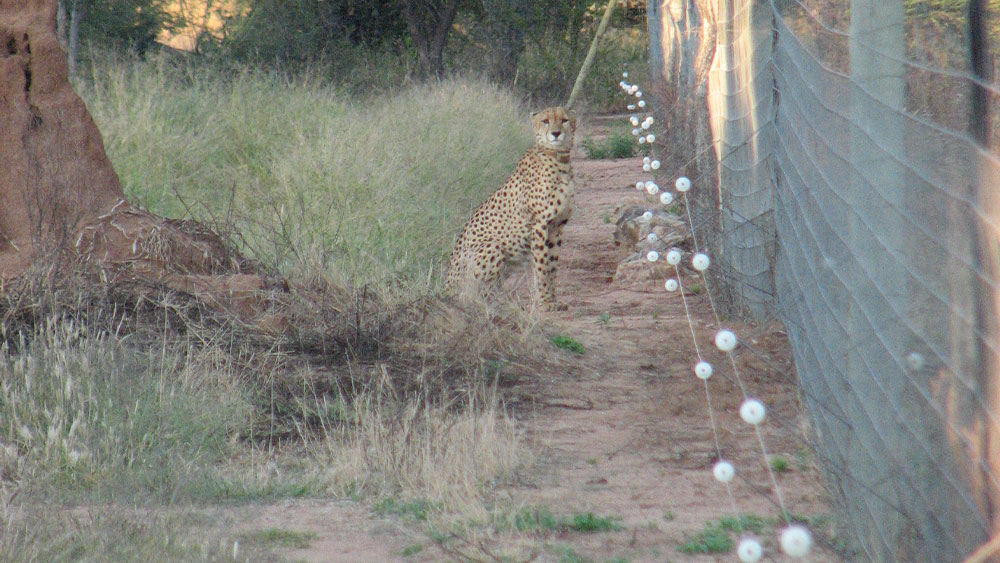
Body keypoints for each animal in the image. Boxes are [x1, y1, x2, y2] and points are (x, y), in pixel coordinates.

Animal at [448, 107, 580, 310]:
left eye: (564, 120)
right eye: (545, 121)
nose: (556, 133)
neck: (559, 160)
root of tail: (445, 289)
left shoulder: (557, 226)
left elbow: (551, 266)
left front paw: (551, 299)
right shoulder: (540, 225)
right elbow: (542, 265)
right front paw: (545, 301)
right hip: (492, 246)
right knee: (471, 295)